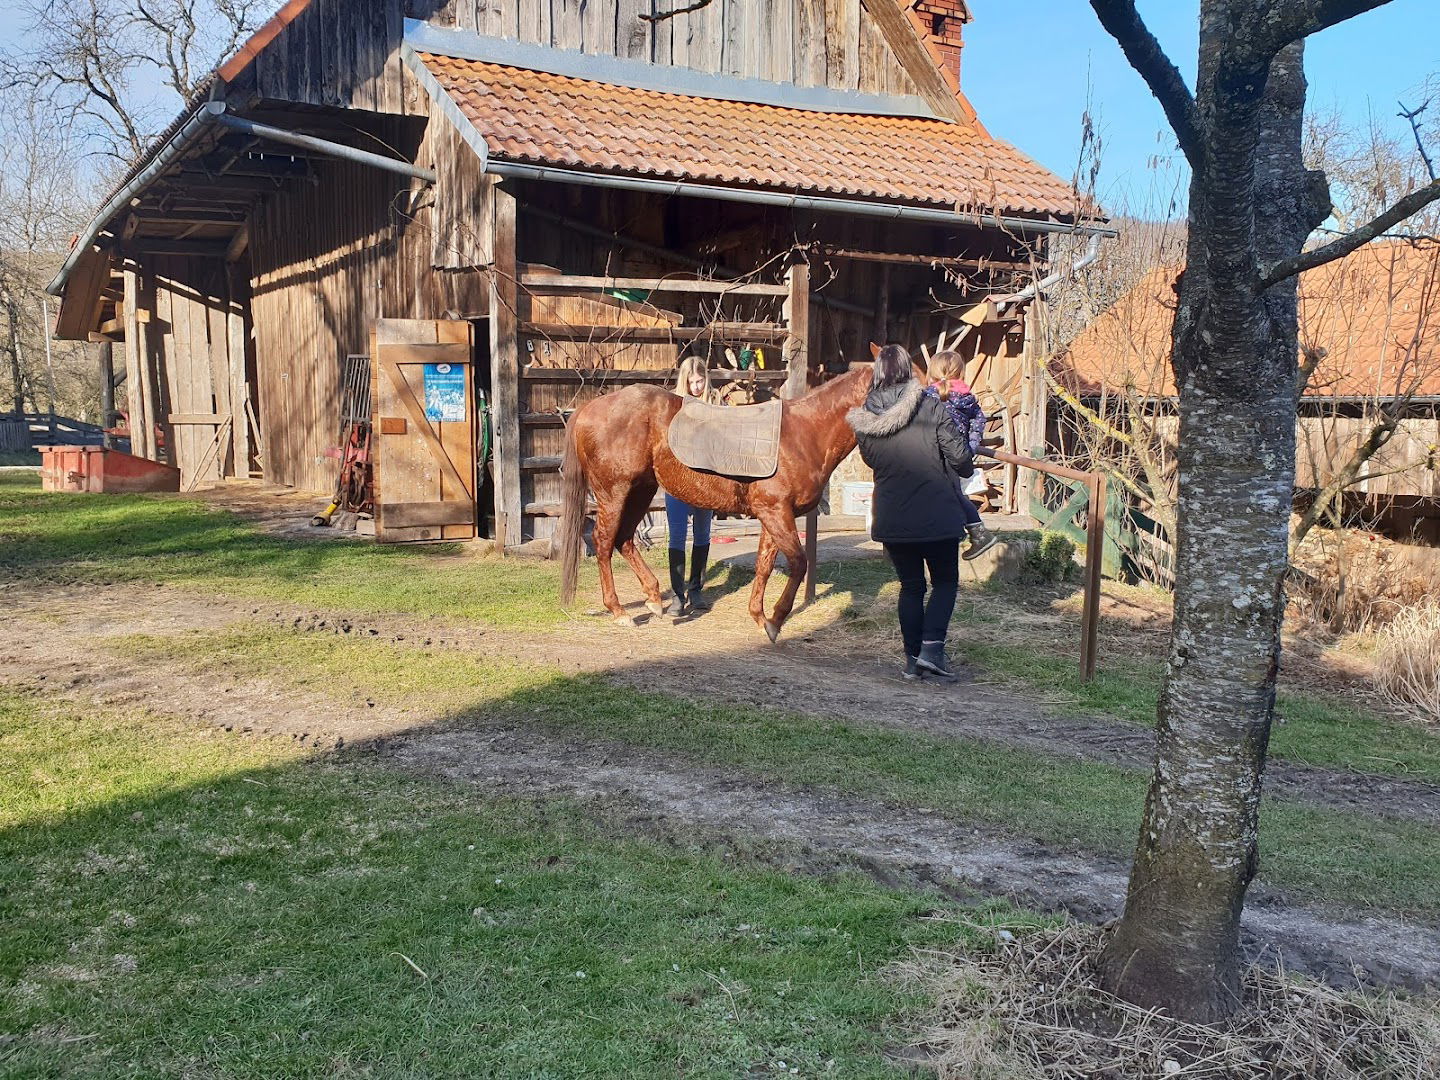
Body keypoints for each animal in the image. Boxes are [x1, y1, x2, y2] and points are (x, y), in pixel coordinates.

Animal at [555, 368, 869, 642]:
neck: (806, 433)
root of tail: (590, 407)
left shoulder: (774, 514)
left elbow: (764, 565)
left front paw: (760, 617)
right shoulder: (776, 512)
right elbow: (799, 562)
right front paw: (776, 620)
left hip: (640, 491)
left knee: (624, 540)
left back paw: (654, 598)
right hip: (614, 493)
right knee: (603, 541)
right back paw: (619, 611)